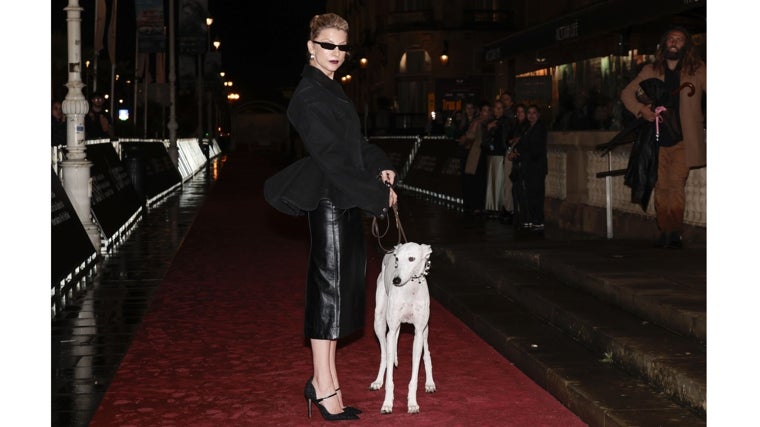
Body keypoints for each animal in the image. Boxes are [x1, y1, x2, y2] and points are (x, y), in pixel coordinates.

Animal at [372, 244, 436, 414]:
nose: (396, 280)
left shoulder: (419, 332)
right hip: (379, 323)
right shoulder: (393, 329)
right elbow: (390, 377)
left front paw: (412, 403)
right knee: (384, 353)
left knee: (427, 353)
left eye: (411, 258)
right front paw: (387, 403)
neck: (410, 288)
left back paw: (430, 382)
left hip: (425, 330)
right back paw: (378, 380)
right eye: (397, 259)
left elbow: (414, 375)